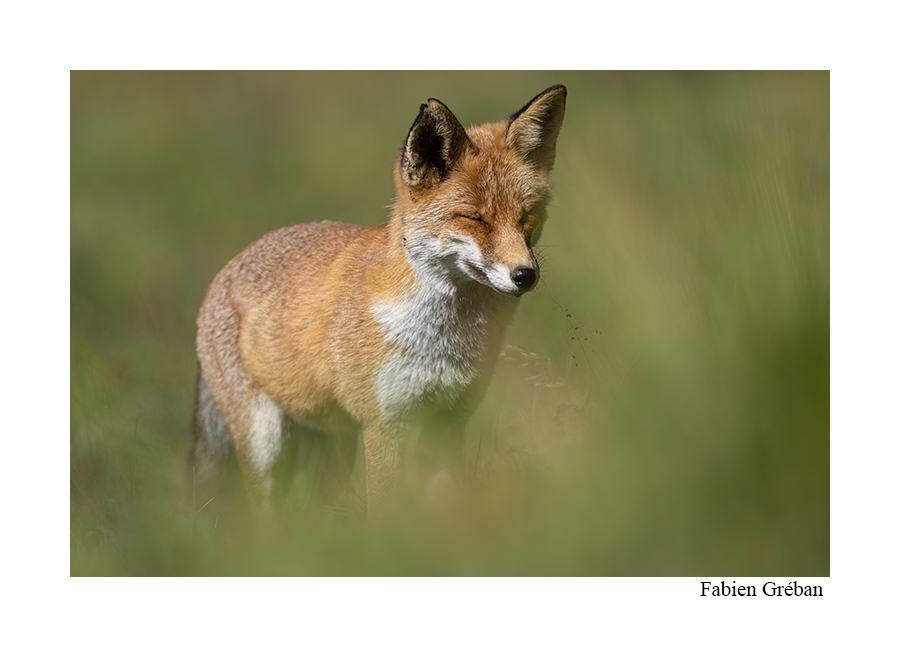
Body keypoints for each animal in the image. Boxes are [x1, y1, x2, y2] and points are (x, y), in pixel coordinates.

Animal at [192, 84, 567, 516]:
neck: (444, 343)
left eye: (527, 216)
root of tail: (225, 270)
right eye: (476, 219)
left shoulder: (451, 421)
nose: (525, 275)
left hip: (332, 447)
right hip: (267, 445)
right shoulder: (384, 425)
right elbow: (386, 512)